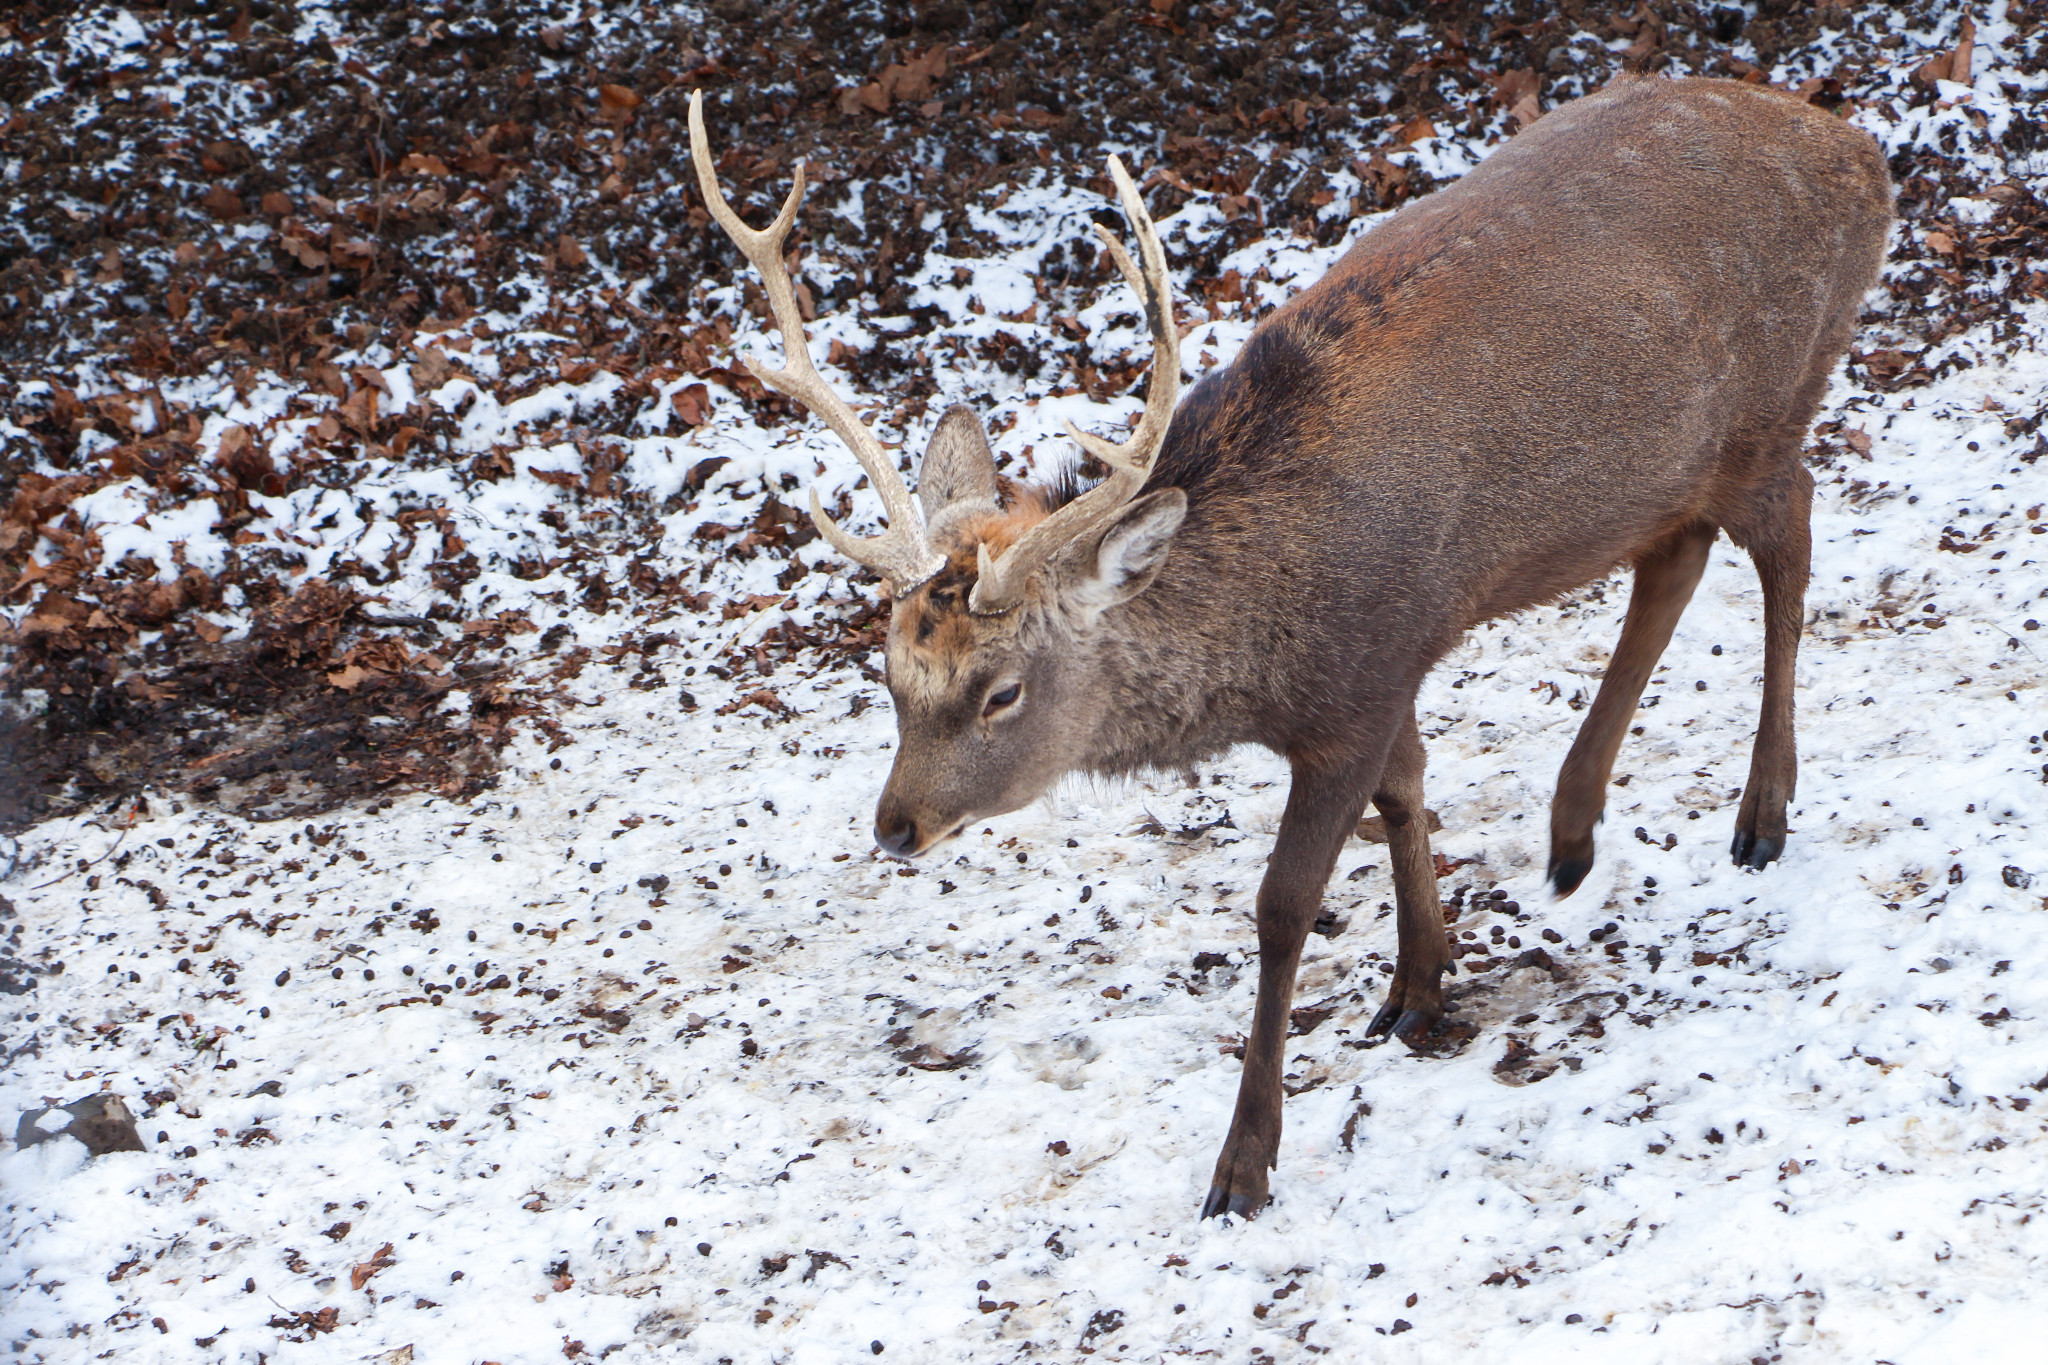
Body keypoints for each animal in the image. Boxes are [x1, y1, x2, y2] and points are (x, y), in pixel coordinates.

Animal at [684, 74, 1884, 1219]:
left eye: (1001, 693)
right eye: (888, 672)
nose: (895, 828)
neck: (1263, 663)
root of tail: (1860, 155)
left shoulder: (1362, 679)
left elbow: (1283, 903)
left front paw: (1244, 1164)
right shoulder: (1384, 672)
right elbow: (1408, 791)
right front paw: (1420, 982)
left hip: (1773, 403)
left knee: (1788, 542)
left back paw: (1761, 813)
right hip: (1672, 466)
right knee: (1673, 556)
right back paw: (1571, 829)